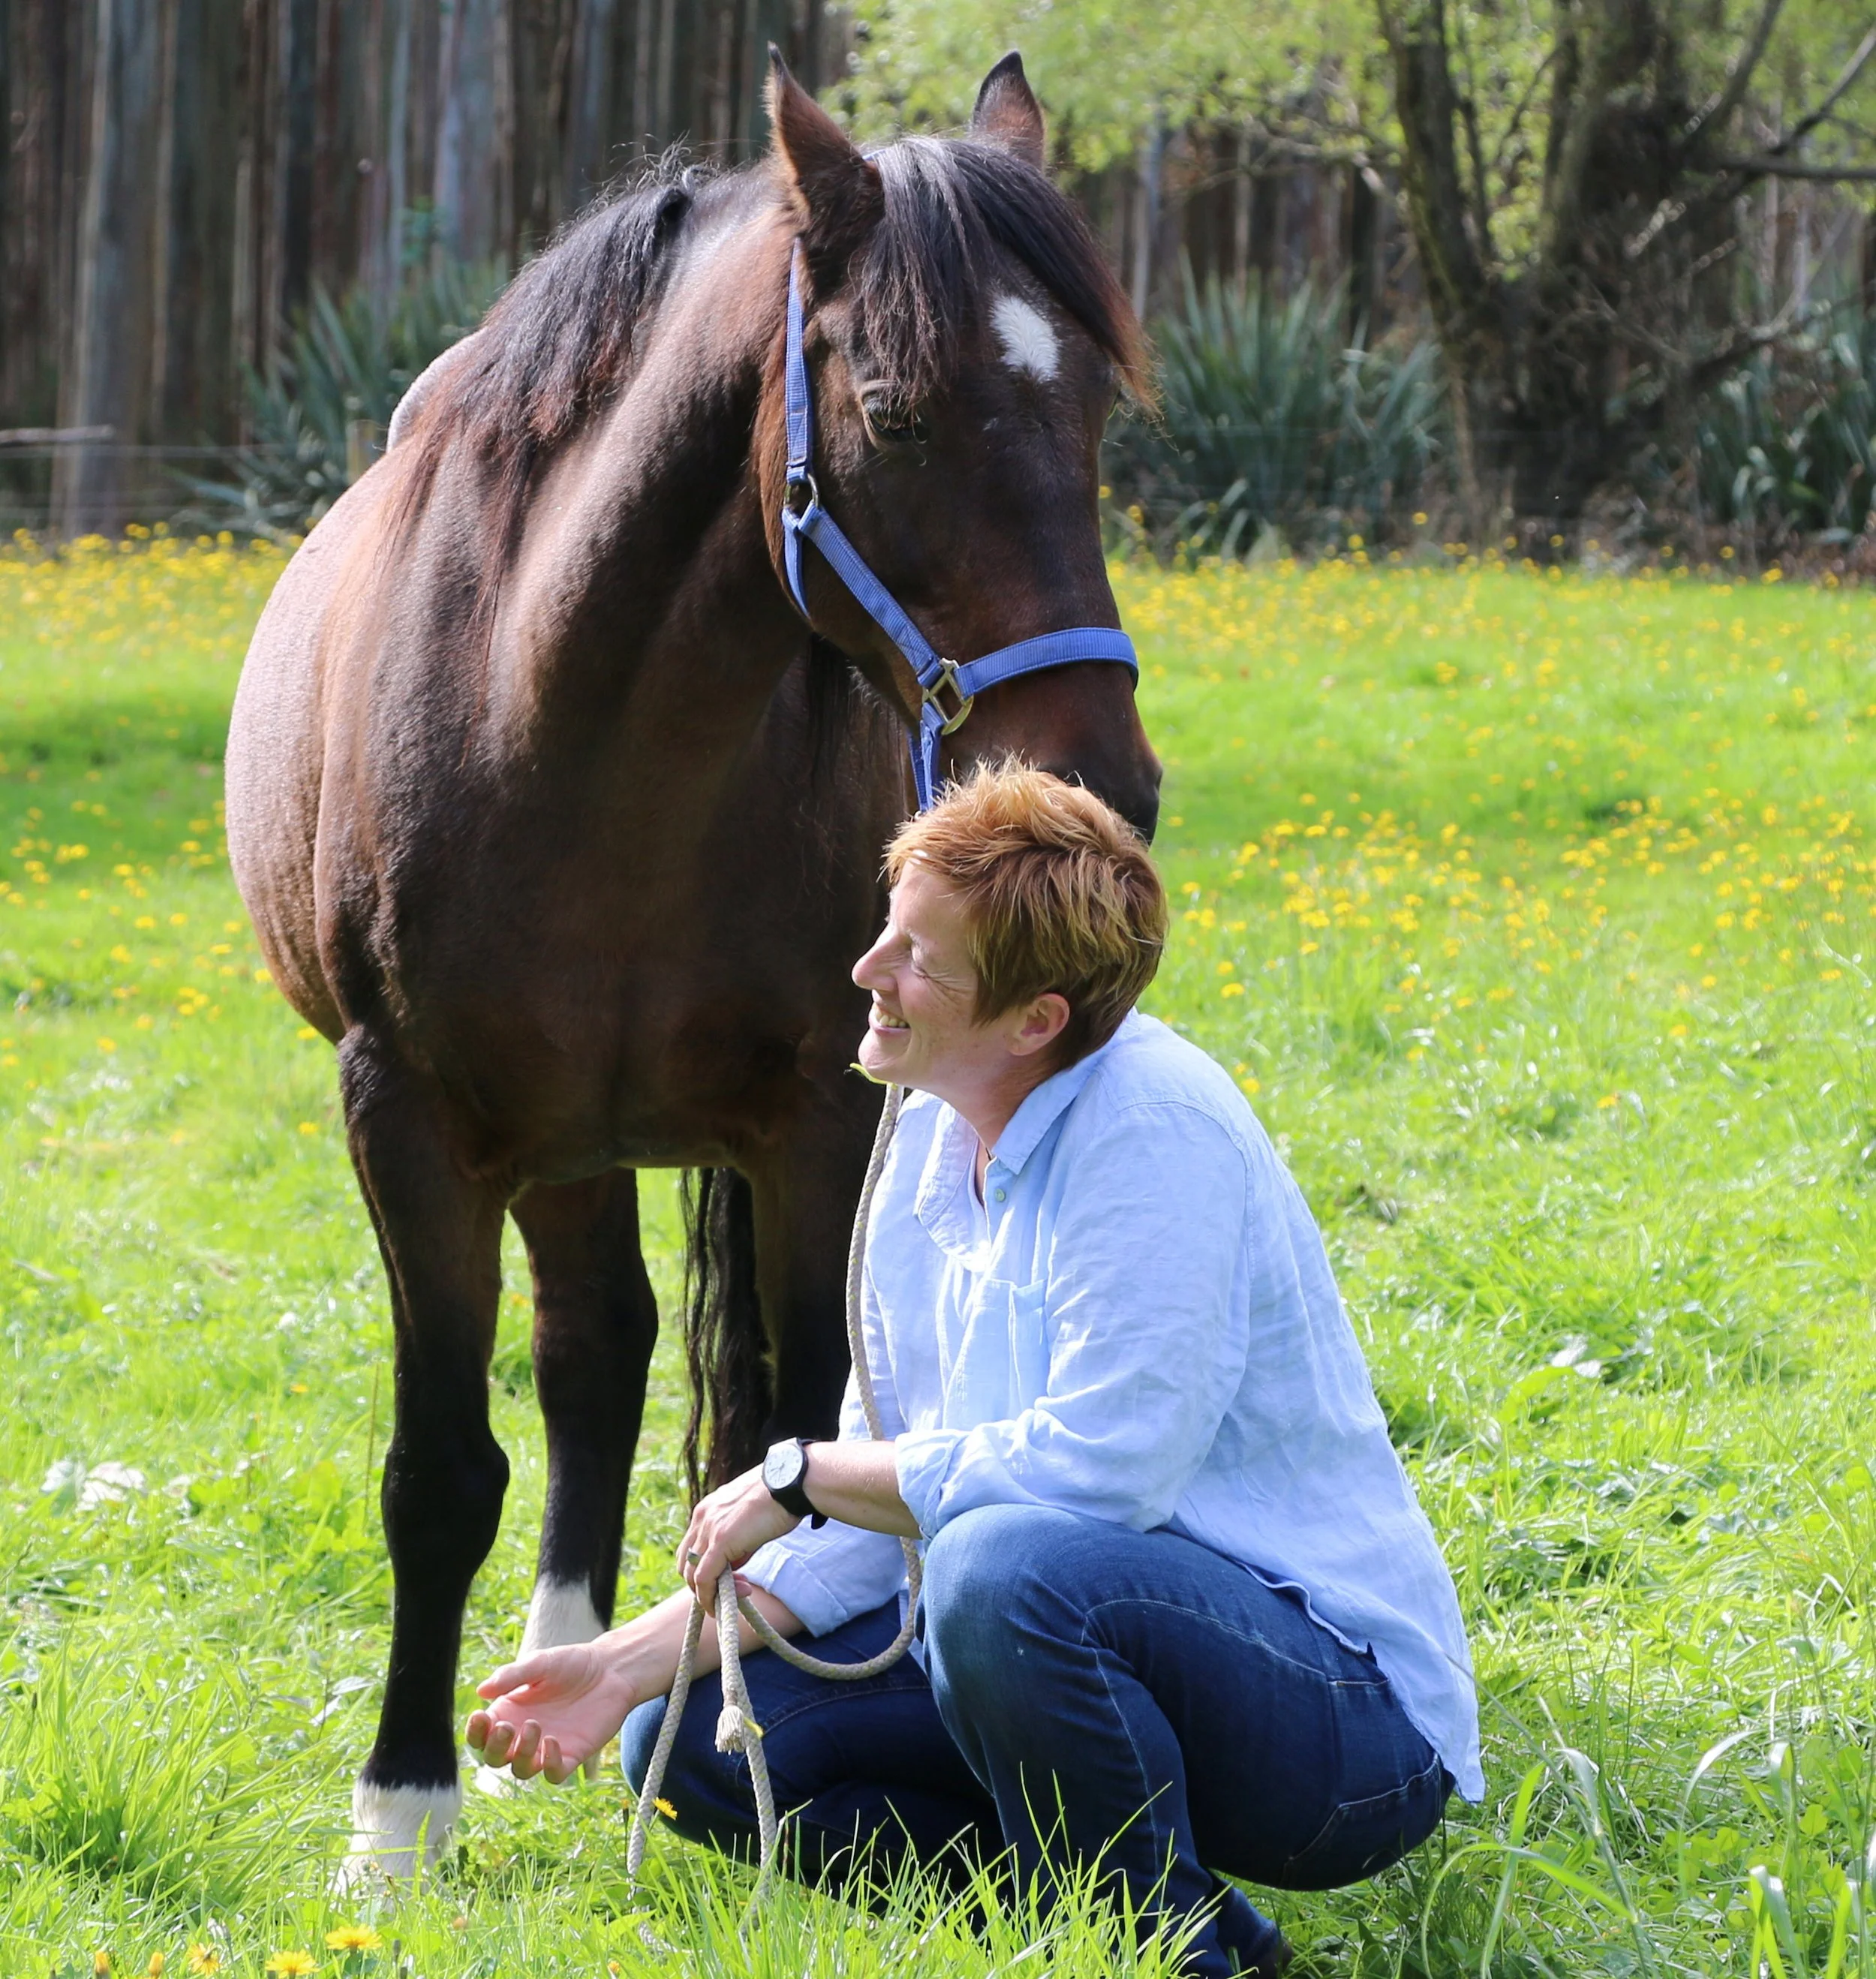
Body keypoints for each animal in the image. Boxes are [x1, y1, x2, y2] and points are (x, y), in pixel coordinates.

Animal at [223, 50, 1160, 1879]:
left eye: (1095, 408)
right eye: (896, 408)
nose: (1100, 783)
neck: (575, 730)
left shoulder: (817, 1118)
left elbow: (777, 1440)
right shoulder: (412, 1118)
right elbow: (439, 1467)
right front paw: (401, 1816)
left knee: (623, 1361)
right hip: (554, 1140)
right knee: (590, 1355)